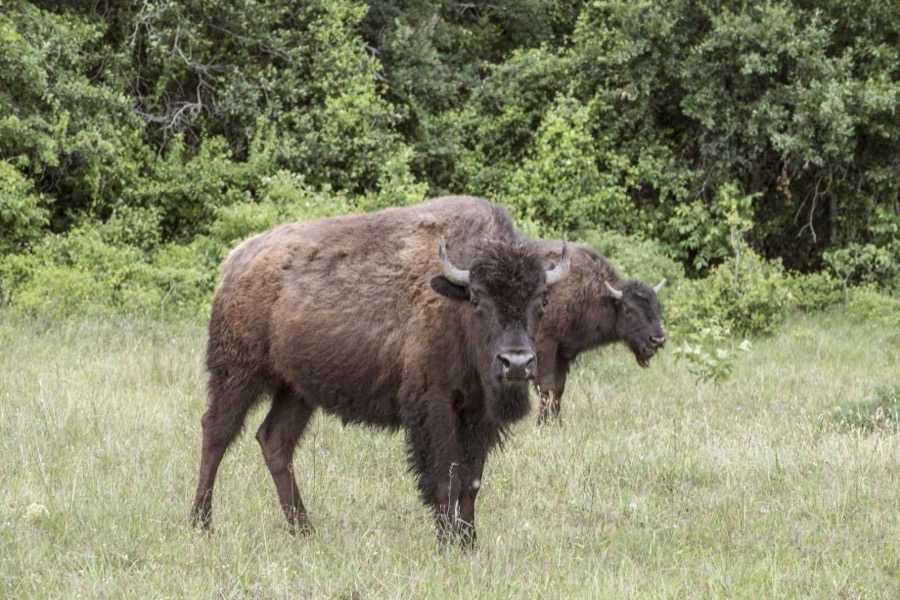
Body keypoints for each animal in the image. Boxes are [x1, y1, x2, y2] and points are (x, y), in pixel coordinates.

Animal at [190, 195, 570, 546]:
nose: (516, 363)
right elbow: (446, 478)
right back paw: (201, 524)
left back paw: (304, 531)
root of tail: (236, 262)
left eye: (541, 300)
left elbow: (471, 481)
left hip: (295, 390)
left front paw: (469, 542)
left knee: (274, 441)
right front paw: (448, 544)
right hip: (238, 374)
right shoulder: (434, 404)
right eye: (477, 298)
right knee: (216, 433)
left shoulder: (478, 415)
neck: (453, 304)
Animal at [530, 239, 666, 424]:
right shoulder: (546, 343)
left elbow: (558, 388)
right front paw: (544, 424)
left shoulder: (563, 351)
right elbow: (546, 386)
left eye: (656, 307)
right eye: (627, 309)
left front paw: (557, 423)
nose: (657, 340)